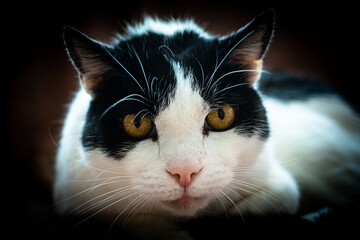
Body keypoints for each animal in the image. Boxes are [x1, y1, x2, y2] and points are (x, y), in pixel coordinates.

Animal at [54, 8, 360, 238]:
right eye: (137, 122)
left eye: (221, 115)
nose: (185, 172)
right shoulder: (74, 193)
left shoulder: (276, 181)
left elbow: (276, 198)